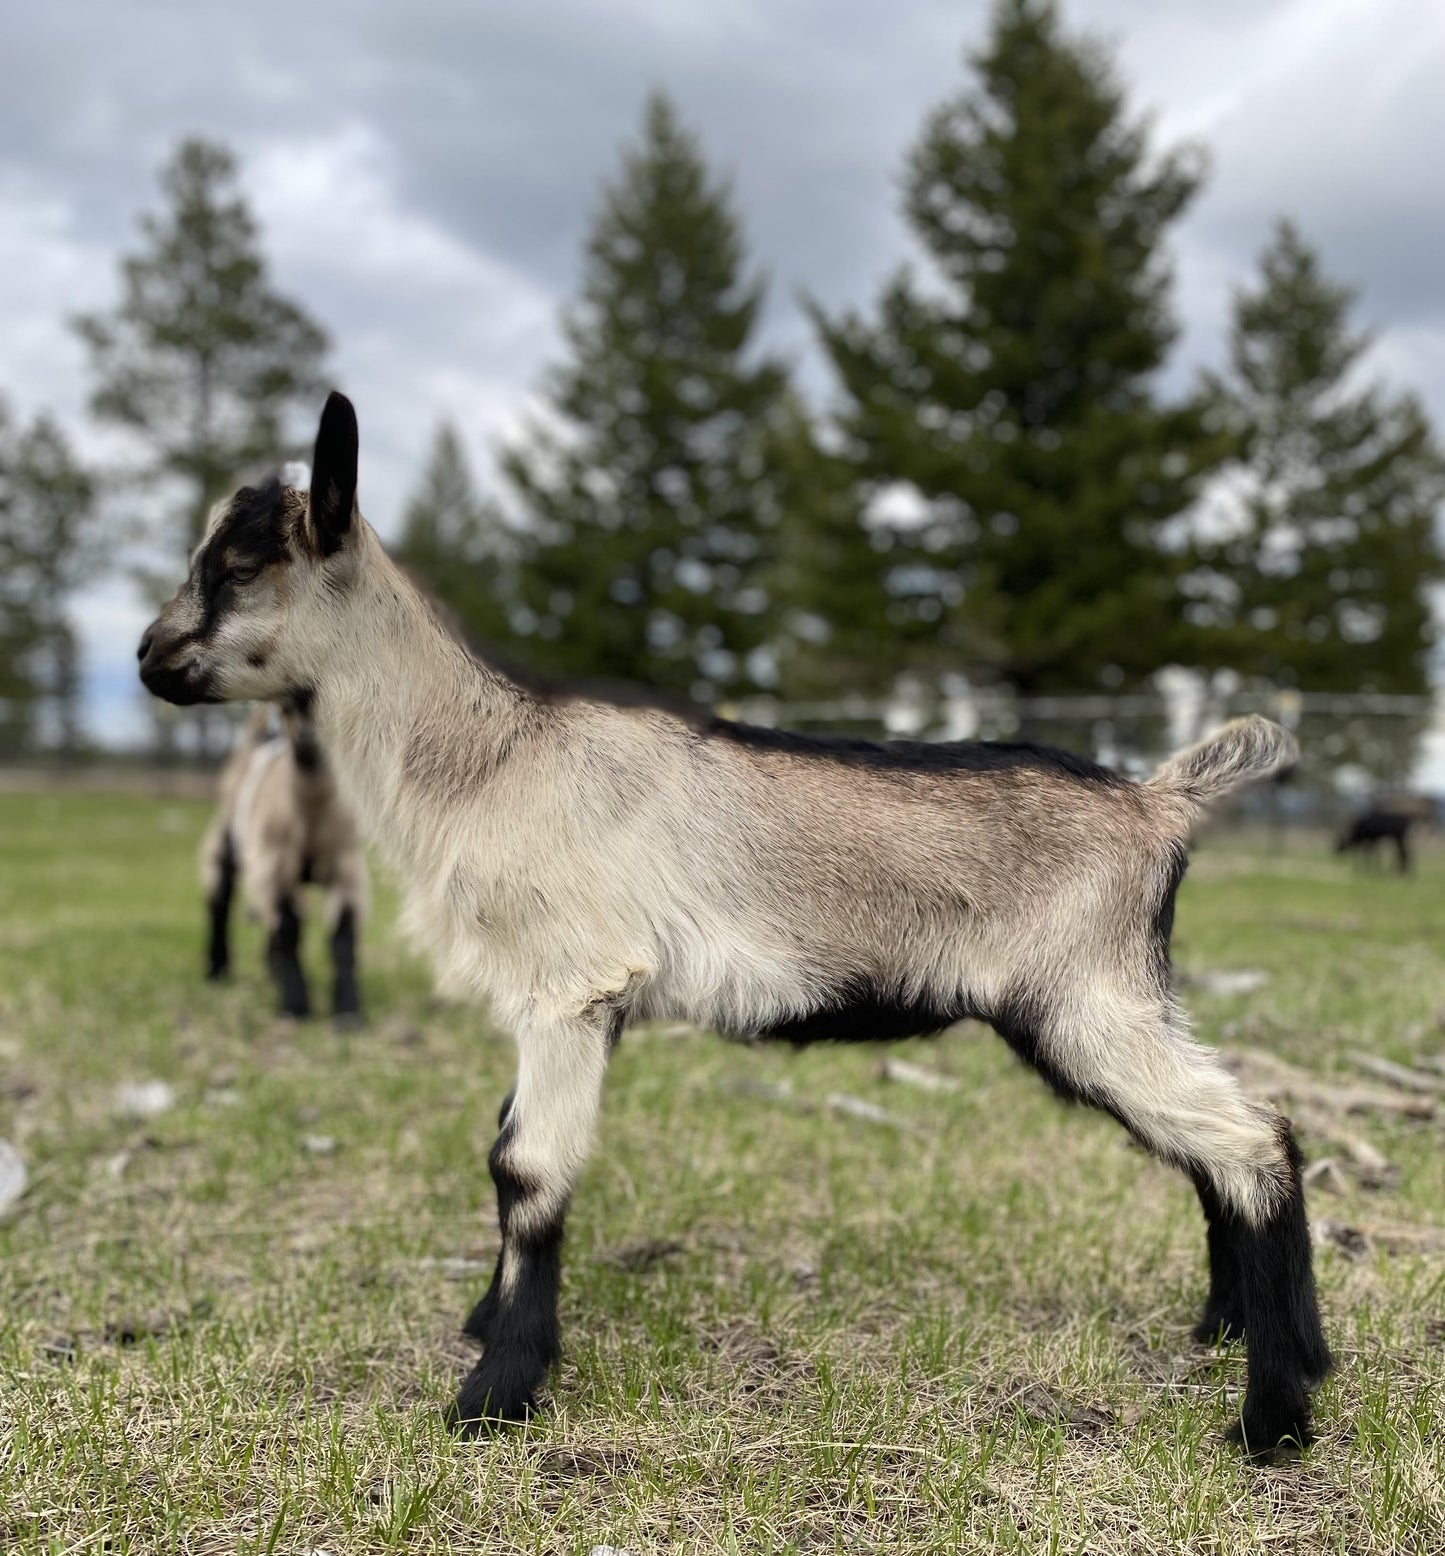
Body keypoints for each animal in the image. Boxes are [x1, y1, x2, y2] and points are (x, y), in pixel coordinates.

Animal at [200, 703, 366, 1023]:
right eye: (287, 706)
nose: (309, 736)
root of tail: (260, 737)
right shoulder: (275, 865)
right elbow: (290, 931)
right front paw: (296, 1005)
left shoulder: (346, 865)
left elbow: (342, 937)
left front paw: (348, 1011)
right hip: (227, 840)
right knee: (219, 903)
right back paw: (216, 970)